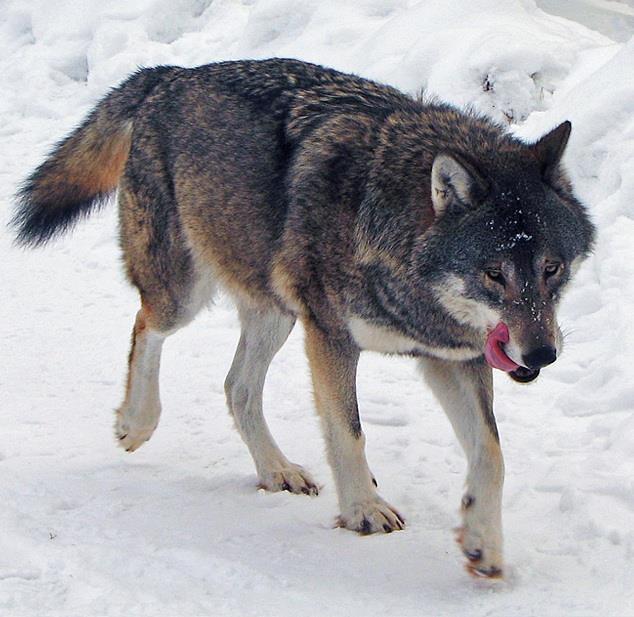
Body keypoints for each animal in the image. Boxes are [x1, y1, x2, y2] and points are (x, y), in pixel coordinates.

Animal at [11, 55, 592, 576]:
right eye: (495, 273)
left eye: (552, 268)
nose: (542, 354)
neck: (387, 229)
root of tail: (171, 74)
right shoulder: (330, 336)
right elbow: (348, 432)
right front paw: (363, 510)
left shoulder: (454, 357)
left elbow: (491, 455)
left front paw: (483, 543)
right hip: (187, 295)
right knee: (145, 326)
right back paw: (136, 423)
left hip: (275, 313)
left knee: (236, 387)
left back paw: (277, 470)